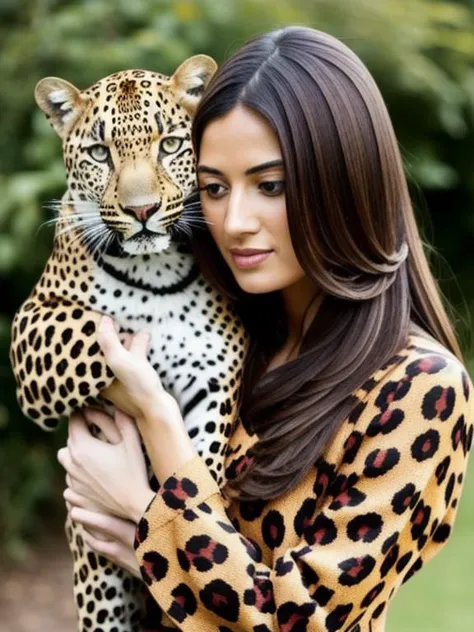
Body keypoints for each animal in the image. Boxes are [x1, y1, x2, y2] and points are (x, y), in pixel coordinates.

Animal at [10, 55, 248, 632]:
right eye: (101, 152)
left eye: (170, 145)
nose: (142, 212)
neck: (154, 269)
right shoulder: (31, 328)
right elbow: (106, 329)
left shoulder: (218, 371)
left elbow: (199, 460)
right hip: (99, 585)